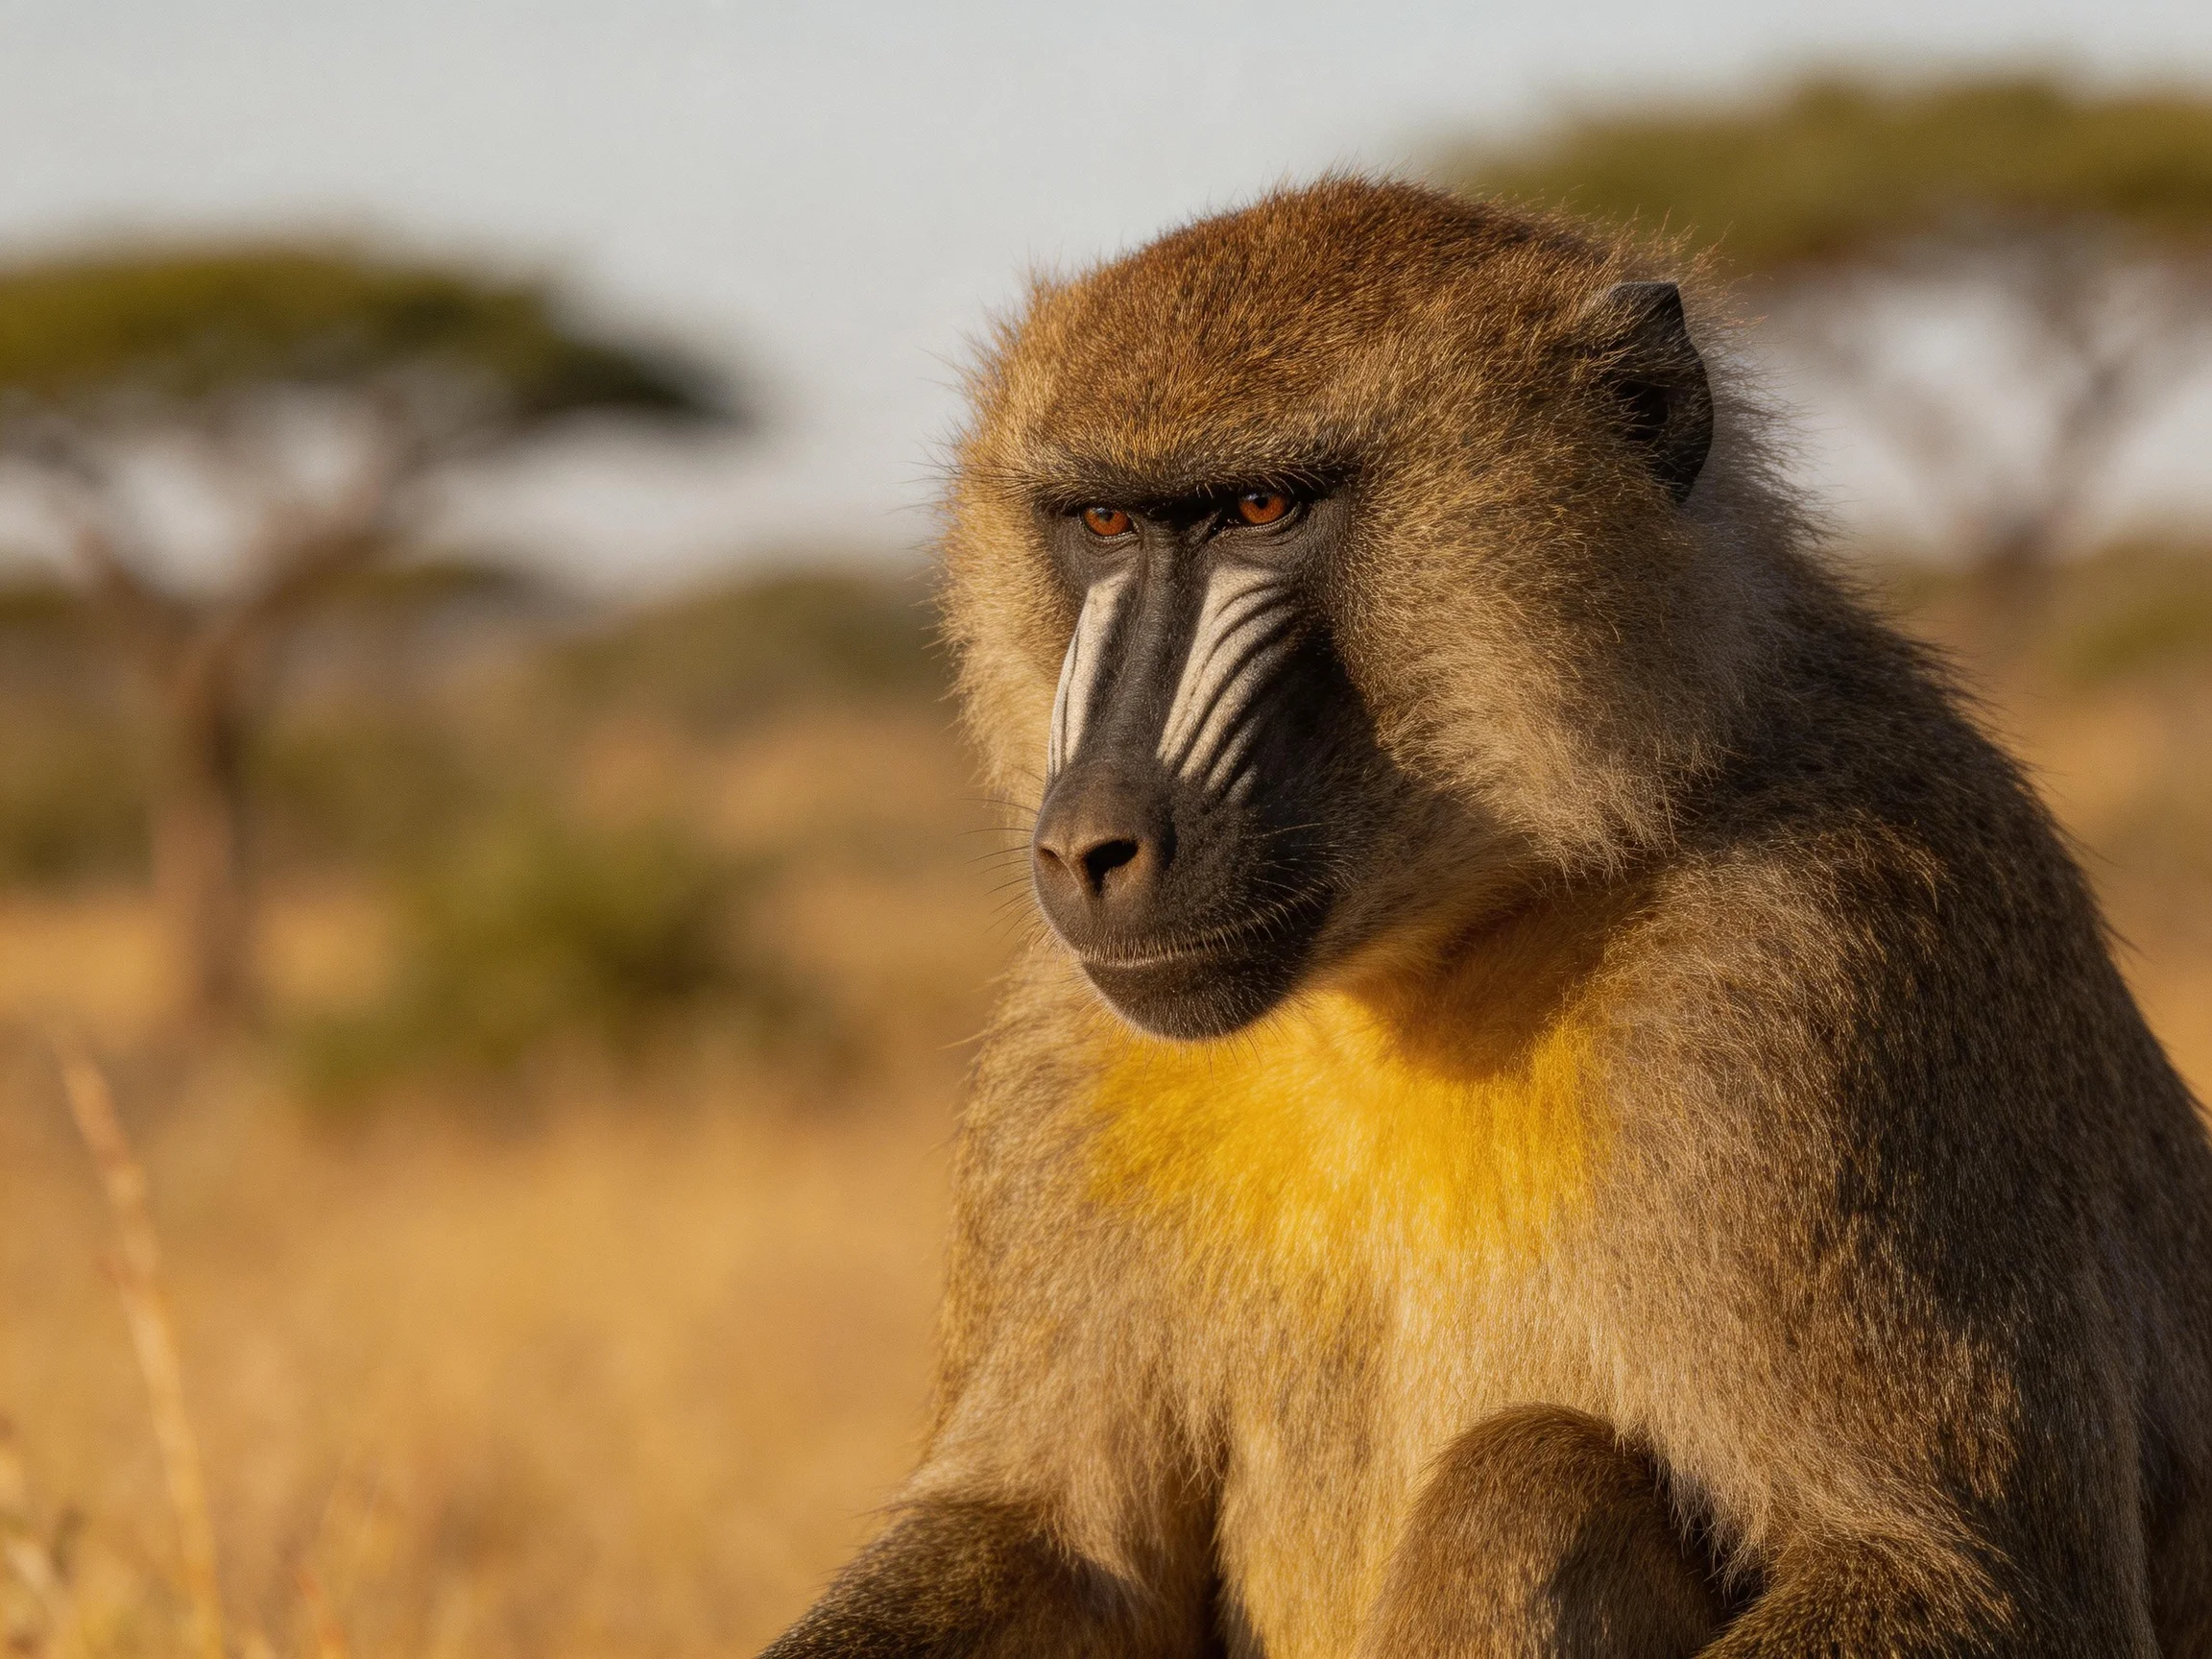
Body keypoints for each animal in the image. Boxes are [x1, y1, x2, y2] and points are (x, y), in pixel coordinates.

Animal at [759, 179, 2212, 1657]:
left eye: (1260, 509)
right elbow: (1043, 1539)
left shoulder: (1824, 967)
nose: (1087, 848)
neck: (1429, 960)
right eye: (1104, 527)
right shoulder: (1073, 1052)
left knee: (1534, 1475)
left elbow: (1958, 1576)